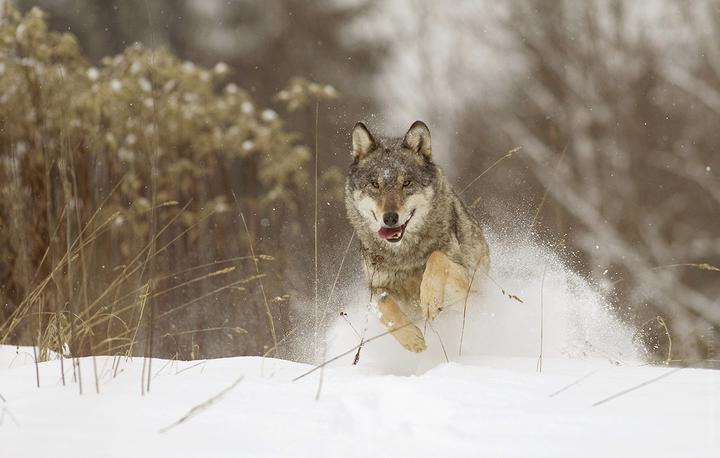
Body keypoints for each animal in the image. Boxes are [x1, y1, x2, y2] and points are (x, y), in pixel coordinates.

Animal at [344, 121, 490, 350]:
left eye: (406, 183)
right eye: (375, 184)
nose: (390, 218)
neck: (405, 258)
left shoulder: (468, 289)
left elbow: (436, 258)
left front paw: (430, 300)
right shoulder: (375, 287)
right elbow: (383, 305)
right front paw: (411, 338)